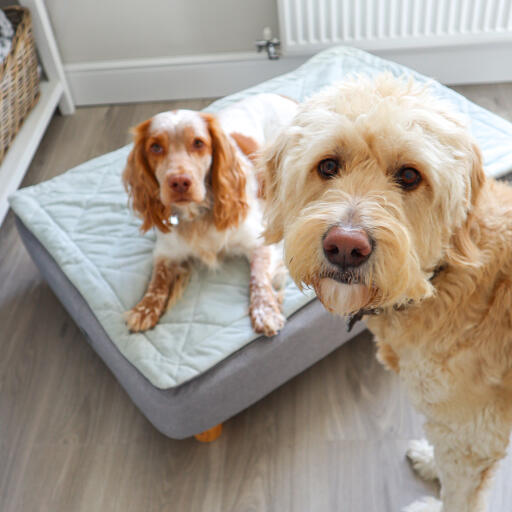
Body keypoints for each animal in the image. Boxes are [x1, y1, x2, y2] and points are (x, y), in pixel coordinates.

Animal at [262, 73, 512, 512]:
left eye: (410, 176)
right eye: (328, 165)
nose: (345, 246)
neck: (439, 281)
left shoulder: (471, 434)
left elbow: (458, 493)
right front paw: (431, 462)